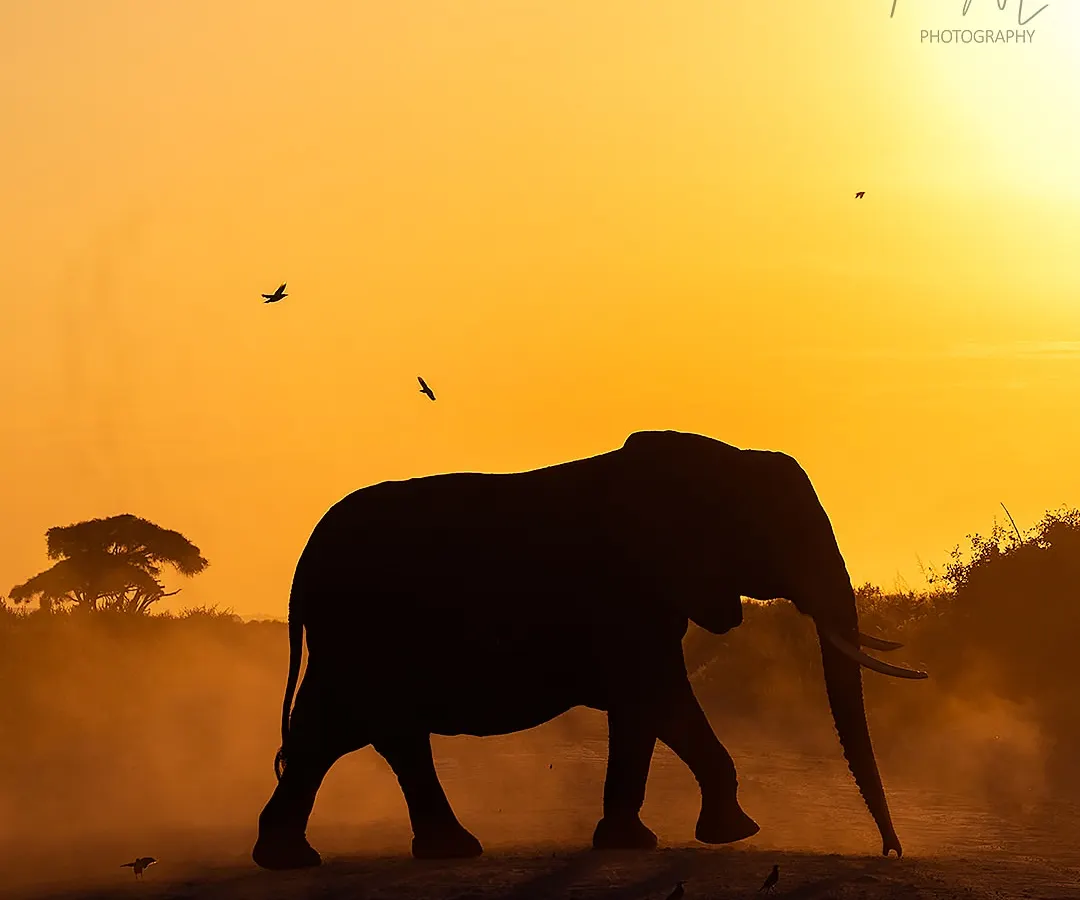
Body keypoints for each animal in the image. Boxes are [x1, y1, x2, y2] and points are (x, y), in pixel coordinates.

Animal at [252, 430, 926, 870]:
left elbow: (649, 711)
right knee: (362, 732)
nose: (891, 851)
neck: (715, 461)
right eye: (784, 533)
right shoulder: (627, 592)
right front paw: (726, 834)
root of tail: (304, 562)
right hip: (363, 631)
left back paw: (312, 857)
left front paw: (651, 840)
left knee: (341, 733)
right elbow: (658, 698)